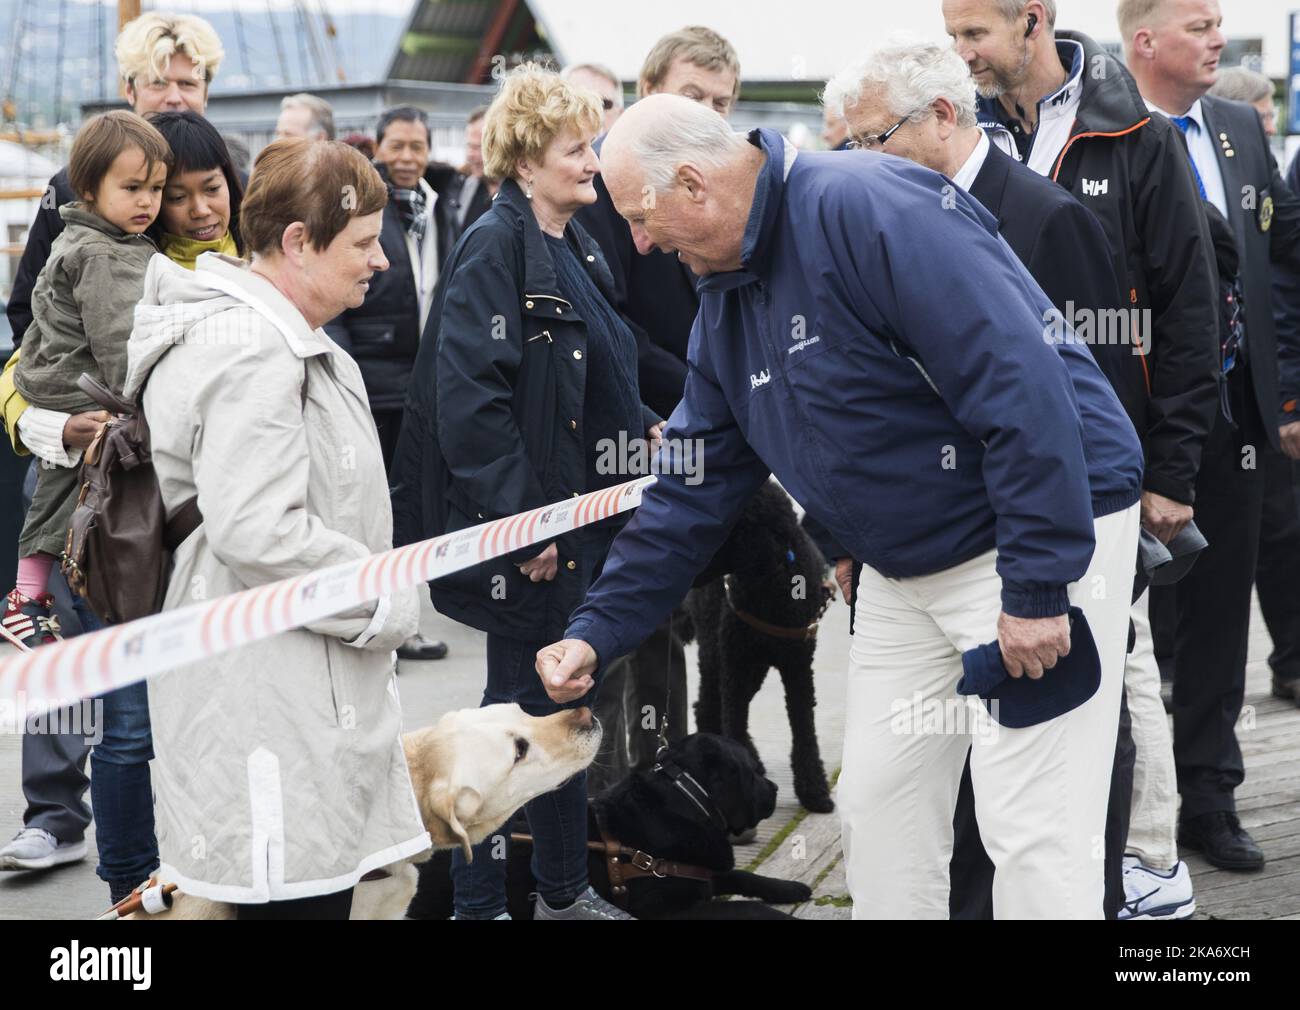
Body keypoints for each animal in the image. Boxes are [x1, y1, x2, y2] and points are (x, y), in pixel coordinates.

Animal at [405, 727, 811, 920]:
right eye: (753, 771)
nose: (775, 788)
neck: (687, 800)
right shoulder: (670, 910)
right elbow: (744, 909)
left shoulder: (701, 872)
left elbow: (743, 877)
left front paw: (789, 887)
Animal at [686, 478, 837, 811]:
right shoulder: (733, 663)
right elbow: (734, 719)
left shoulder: (798, 665)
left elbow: (804, 726)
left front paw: (814, 790)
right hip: (716, 653)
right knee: (708, 707)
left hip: (753, 667)